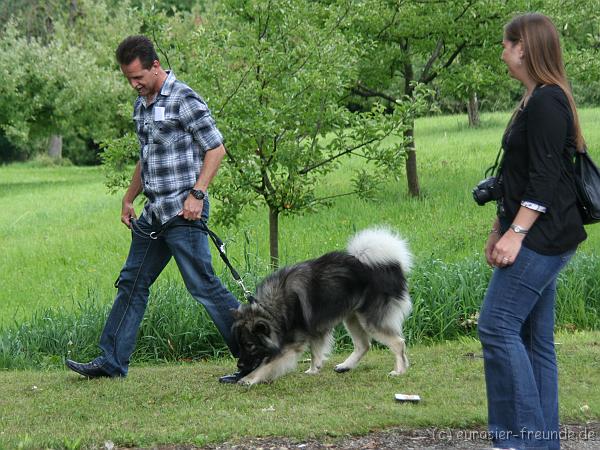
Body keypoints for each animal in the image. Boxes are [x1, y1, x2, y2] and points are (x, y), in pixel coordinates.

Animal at [231, 227, 412, 384]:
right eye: (239, 344)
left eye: (250, 345)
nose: (239, 365)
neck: (271, 309)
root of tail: (392, 267)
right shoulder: (314, 329)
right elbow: (315, 351)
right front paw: (314, 369)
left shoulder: (292, 344)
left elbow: (266, 364)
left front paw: (248, 379)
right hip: (352, 317)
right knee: (364, 345)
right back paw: (345, 366)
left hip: (370, 320)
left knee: (398, 343)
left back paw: (399, 370)